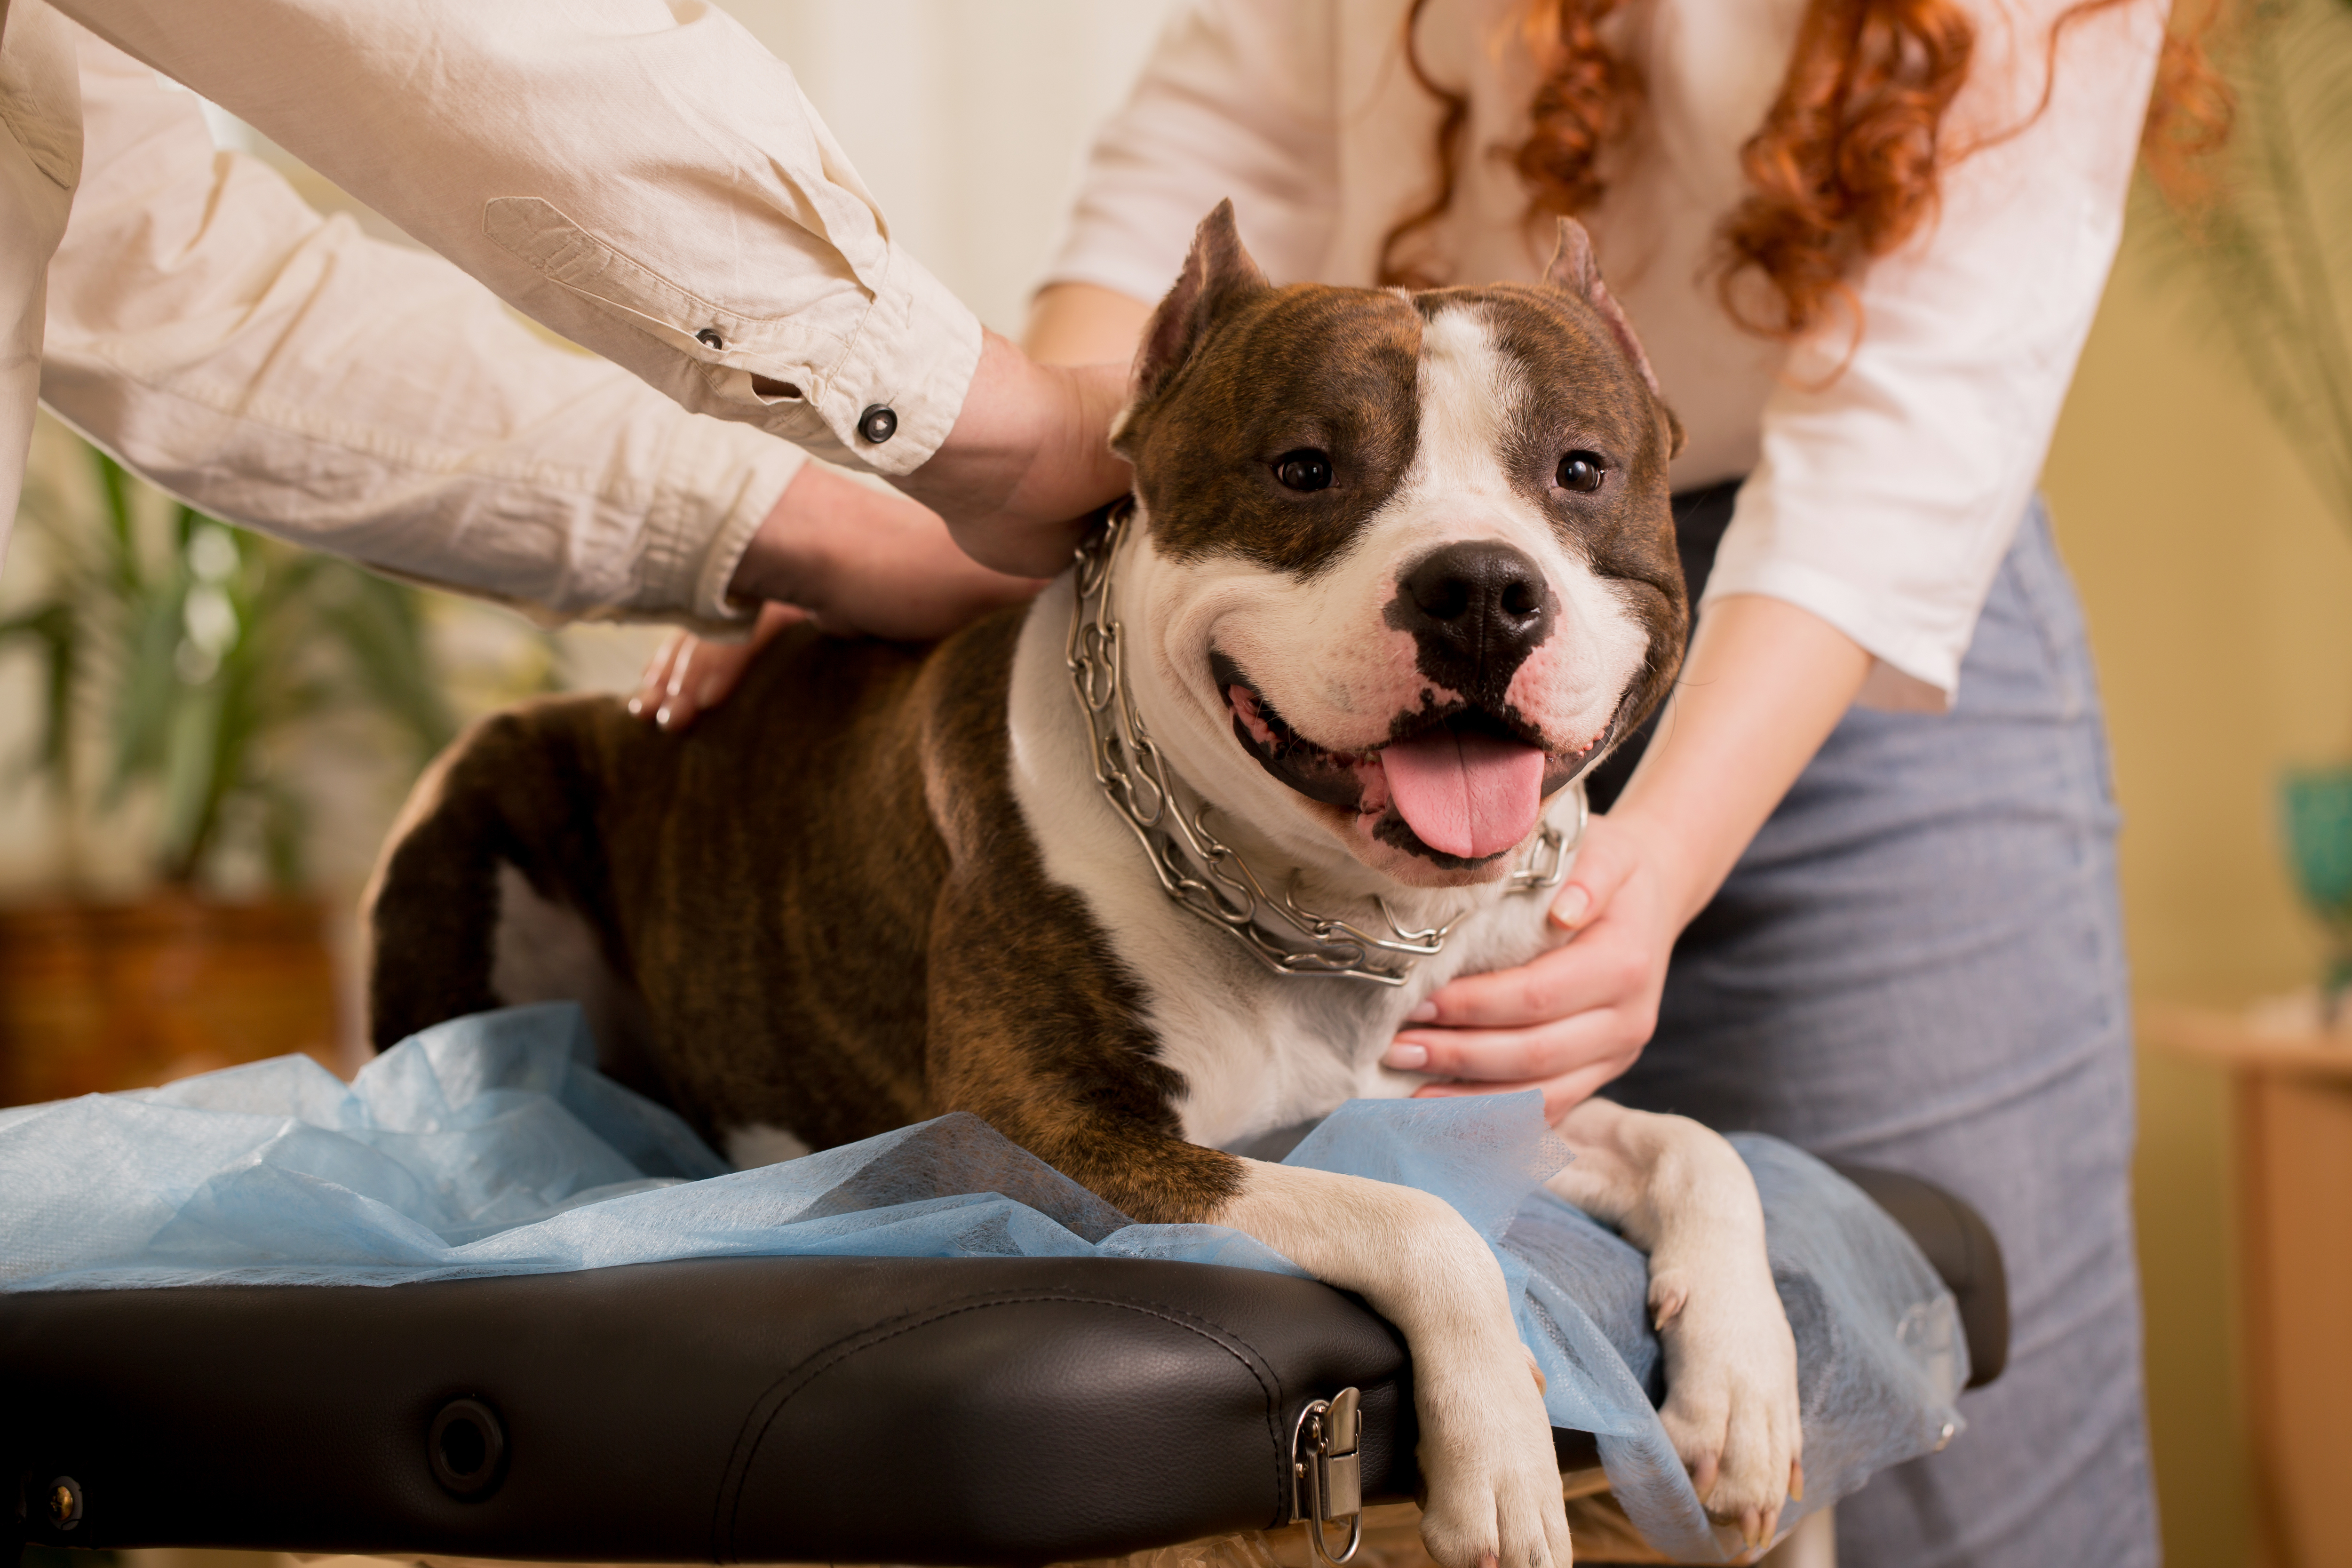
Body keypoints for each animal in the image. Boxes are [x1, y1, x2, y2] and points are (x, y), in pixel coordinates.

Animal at [367, 208, 1797, 1568]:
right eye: (1304, 467)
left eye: (1578, 469)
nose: (1482, 588)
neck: (1321, 909)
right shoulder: (1043, 1139)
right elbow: (1417, 1214)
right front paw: (1496, 1450)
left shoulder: (1477, 1099)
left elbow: (1699, 1145)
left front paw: (1744, 1389)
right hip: (483, 792)